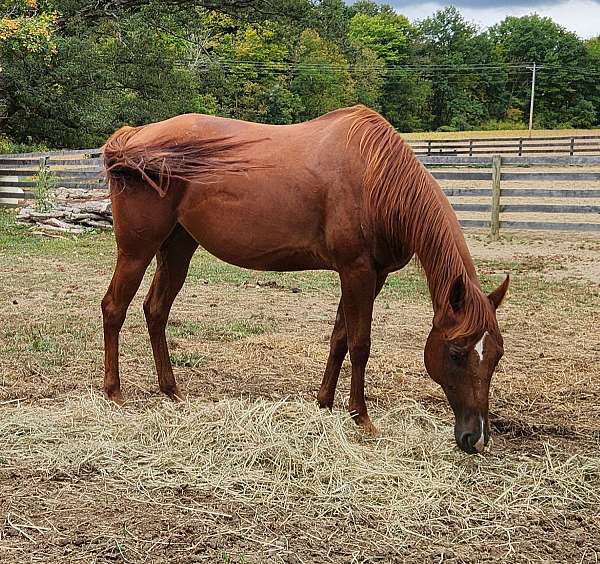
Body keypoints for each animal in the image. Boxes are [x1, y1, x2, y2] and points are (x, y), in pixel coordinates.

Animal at [102, 107, 506, 454]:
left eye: (497, 355)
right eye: (456, 353)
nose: (476, 439)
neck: (376, 179)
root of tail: (134, 137)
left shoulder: (369, 277)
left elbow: (340, 338)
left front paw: (324, 403)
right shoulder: (357, 272)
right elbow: (360, 344)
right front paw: (361, 417)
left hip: (177, 247)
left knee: (156, 310)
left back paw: (170, 390)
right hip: (137, 251)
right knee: (114, 308)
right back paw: (114, 393)